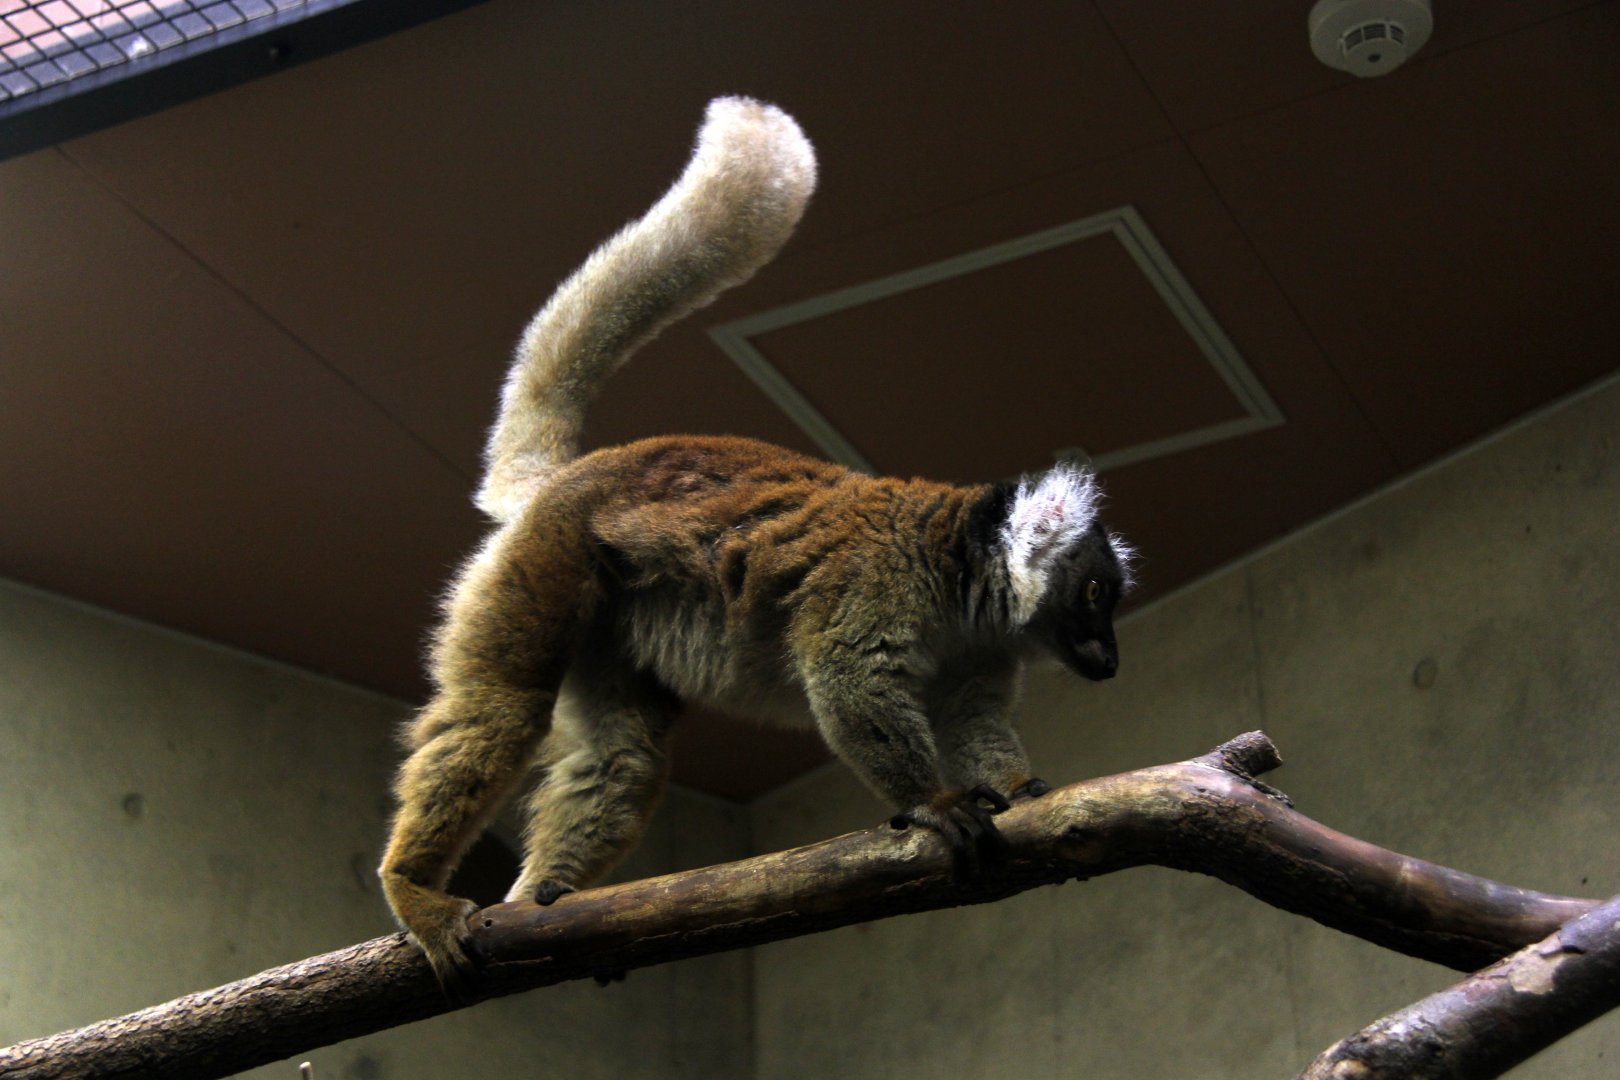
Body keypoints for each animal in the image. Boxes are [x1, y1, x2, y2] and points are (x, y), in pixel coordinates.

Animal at [379, 97, 1134, 993]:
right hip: (545, 561)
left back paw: (543, 901)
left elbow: (970, 719)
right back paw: (411, 884)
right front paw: (936, 806)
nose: (1111, 659)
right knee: (503, 704)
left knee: (623, 754)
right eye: (1095, 595)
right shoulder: (873, 585)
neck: (957, 575)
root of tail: (574, 477)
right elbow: (846, 680)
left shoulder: (978, 655)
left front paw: (1020, 789)